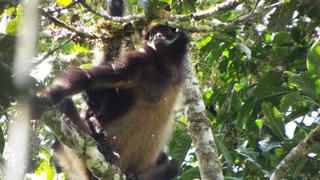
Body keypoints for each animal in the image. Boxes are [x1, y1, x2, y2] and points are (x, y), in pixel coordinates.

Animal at [41, 3, 189, 179]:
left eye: (164, 31)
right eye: (152, 34)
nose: (157, 36)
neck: (164, 67)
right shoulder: (138, 61)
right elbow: (90, 77)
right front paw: (49, 96)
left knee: (173, 166)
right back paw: (101, 147)